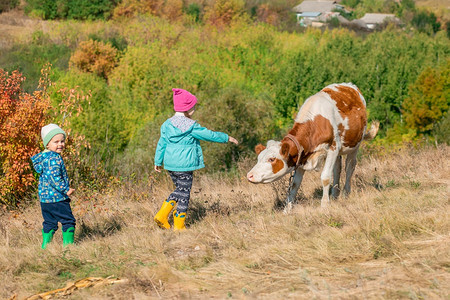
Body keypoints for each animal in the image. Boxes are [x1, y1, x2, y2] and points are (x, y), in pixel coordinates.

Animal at [248, 82, 378, 209]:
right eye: (259, 158)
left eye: (271, 159)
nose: (250, 175)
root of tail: (349, 85)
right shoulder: (302, 156)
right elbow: (295, 184)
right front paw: (287, 209)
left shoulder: (332, 149)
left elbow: (325, 177)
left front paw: (324, 204)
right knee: (337, 169)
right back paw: (335, 195)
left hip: (355, 145)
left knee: (349, 167)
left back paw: (346, 194)